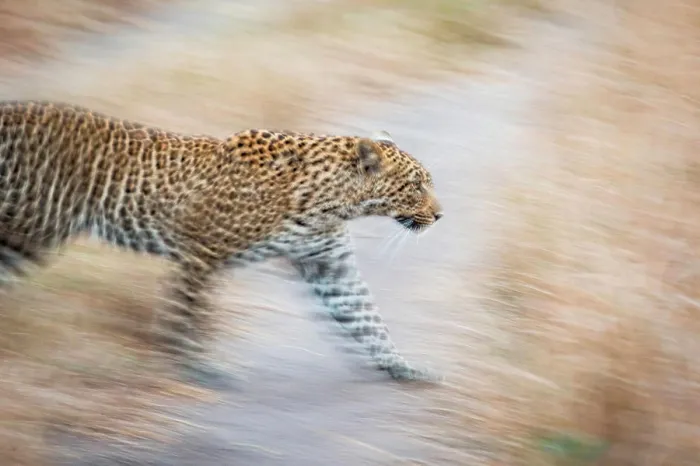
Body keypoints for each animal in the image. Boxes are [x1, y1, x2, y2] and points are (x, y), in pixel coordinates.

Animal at [0, 100, 444, 387]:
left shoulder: (329, 265)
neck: (333, 202)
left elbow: (366, 320)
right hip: (29, 227)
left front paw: (404, 368)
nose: (440, 216)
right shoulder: (201, 256)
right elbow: (187, 315)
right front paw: (194, 367)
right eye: (416, 186)